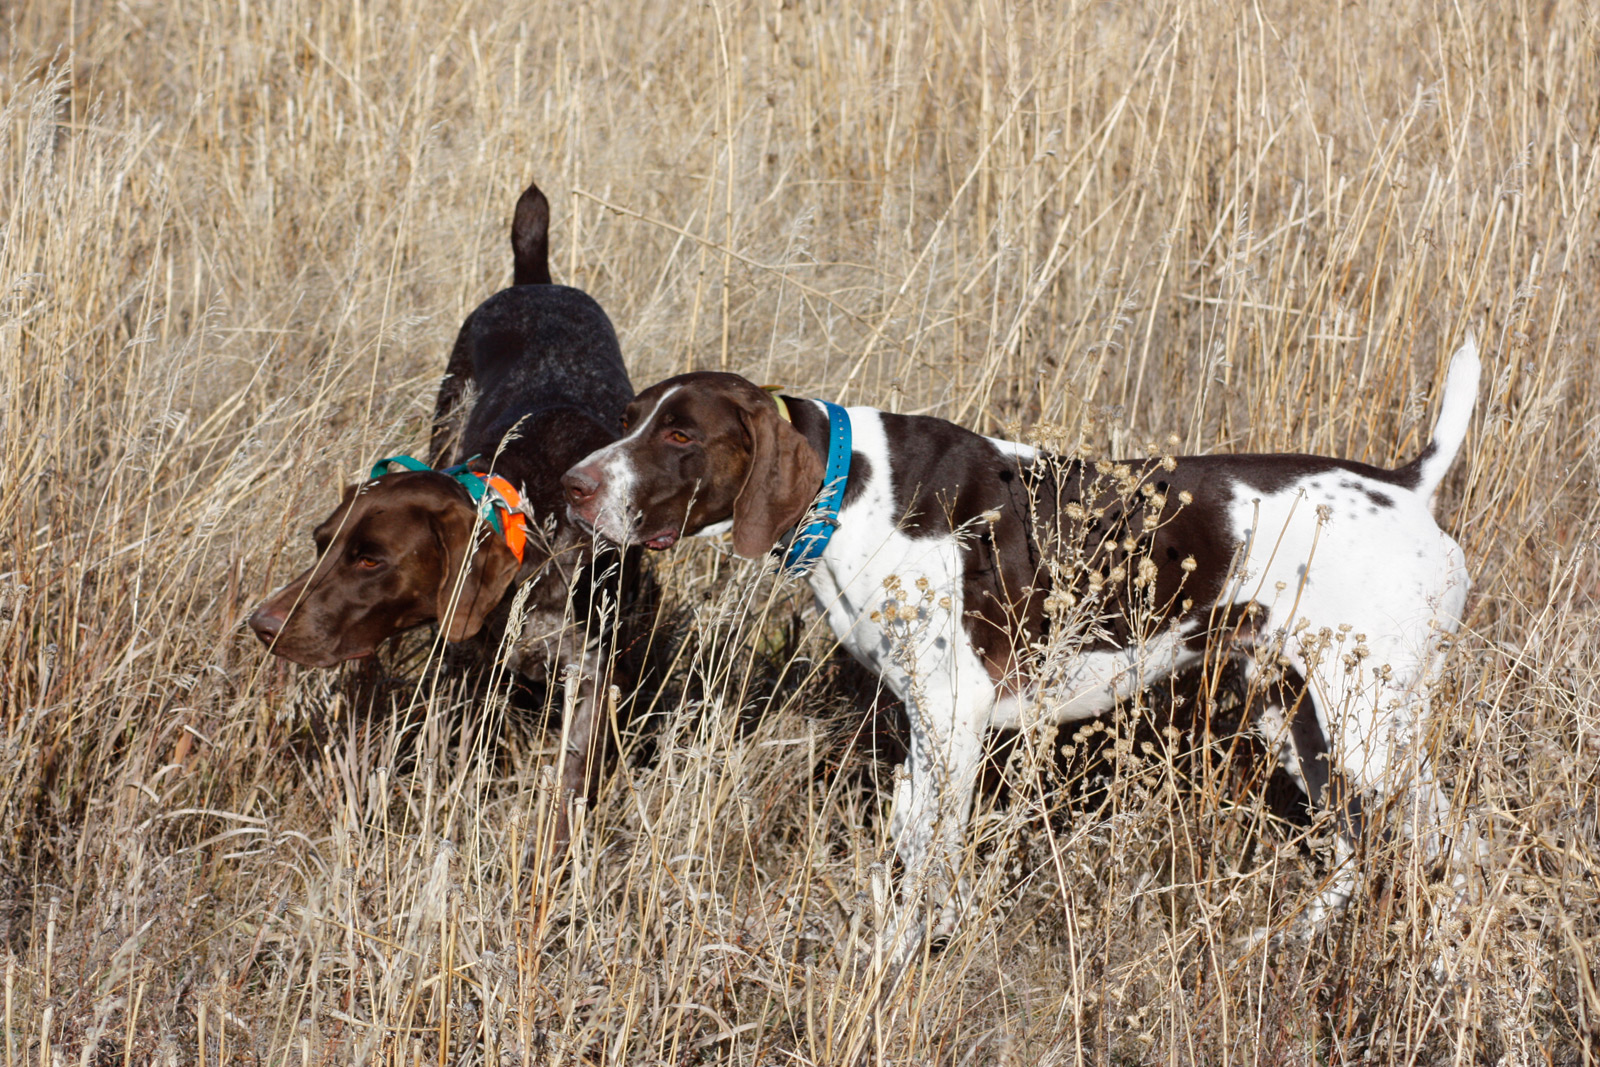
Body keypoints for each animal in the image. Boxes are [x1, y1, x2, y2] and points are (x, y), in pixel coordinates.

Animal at [560, 342, 1472, 959]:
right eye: (629, 421)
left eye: (681, 435)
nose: (572, 485)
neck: (854, 492)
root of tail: (1406, 486)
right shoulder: (926, 728)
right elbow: (918, 849)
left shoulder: (951, 718)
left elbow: (929, 859)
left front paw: (899, 960)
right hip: (1299, 716)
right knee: (1362, 852)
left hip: (1366, 727)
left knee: (1448, 845)